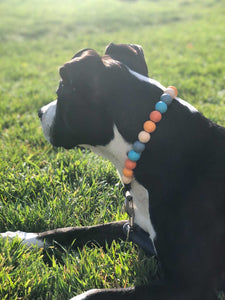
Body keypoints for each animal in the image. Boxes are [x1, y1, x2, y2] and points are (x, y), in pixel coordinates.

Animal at [0, 43, 224, 298]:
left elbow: (92, 293)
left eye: (61, 93)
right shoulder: (132, 226)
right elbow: (74, 230)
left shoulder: (191, 285)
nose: (40, 111)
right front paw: (19, 238)